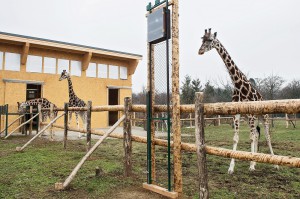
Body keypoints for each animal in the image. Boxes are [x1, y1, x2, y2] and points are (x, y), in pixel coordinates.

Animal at [198, 28, 280, 173]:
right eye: (202, 39)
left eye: (210, 40)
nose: (200, 51)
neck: (237, 83)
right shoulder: (236, 113)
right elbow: (236, 138)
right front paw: (232, 167)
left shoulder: (252, 113)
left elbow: (252, 138)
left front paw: (251, 164)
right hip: (249, 118)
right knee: (257, 134)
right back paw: (255, 160)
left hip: (263, 116)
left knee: (267, 136)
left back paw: (274, 163)